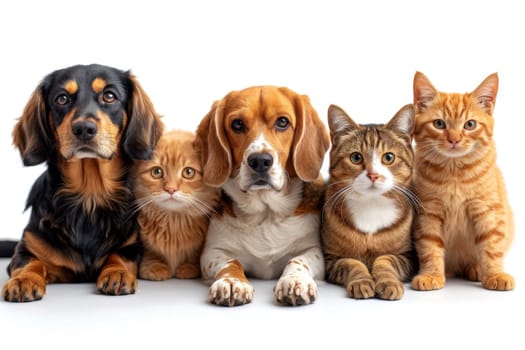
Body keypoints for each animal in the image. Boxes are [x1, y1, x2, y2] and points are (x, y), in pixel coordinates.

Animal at [2, 64, 163, 302]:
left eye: (109, 96)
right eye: (62, 99)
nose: (84, 129)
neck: (89, 197)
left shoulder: (132, 245)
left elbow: (120, 256)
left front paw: (117, 272)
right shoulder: (27, 247)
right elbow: (30, 262)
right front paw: (23, 280)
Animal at [133, 130, 221, 280]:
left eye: (188, 172)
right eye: (157, 172)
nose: (170, 189)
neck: (173, 224)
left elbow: (193, 255)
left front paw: (189, 267)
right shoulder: (147, 245)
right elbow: (152, 253)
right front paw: (154, 266)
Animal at [194, 85, 330, 306]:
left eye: (282, 122)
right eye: (237, 124)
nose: (259, 161)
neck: (266, 213)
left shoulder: (314, 250)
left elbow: (297, 260)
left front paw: (295, 281)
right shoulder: (212, 252)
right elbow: (231, 262)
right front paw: (231, 282)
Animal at [320, 104, 418, 300]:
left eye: (388, 157)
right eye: (356, 157)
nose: (373, 175)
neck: (372, 206)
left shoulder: (408, 256)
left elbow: (385, 259)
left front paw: (388, 281)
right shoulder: (331, 258)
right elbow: (352, 263)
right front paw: (362, 281)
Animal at [412, 71, 512, 290]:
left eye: (470, 124)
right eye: (439, 124)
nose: (454, 139)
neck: (454, 173)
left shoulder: (487, 210)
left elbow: (491, 246)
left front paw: (495, 274)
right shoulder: (429, 211)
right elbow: (429, 246)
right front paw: (431, 275)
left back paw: (476, 269)